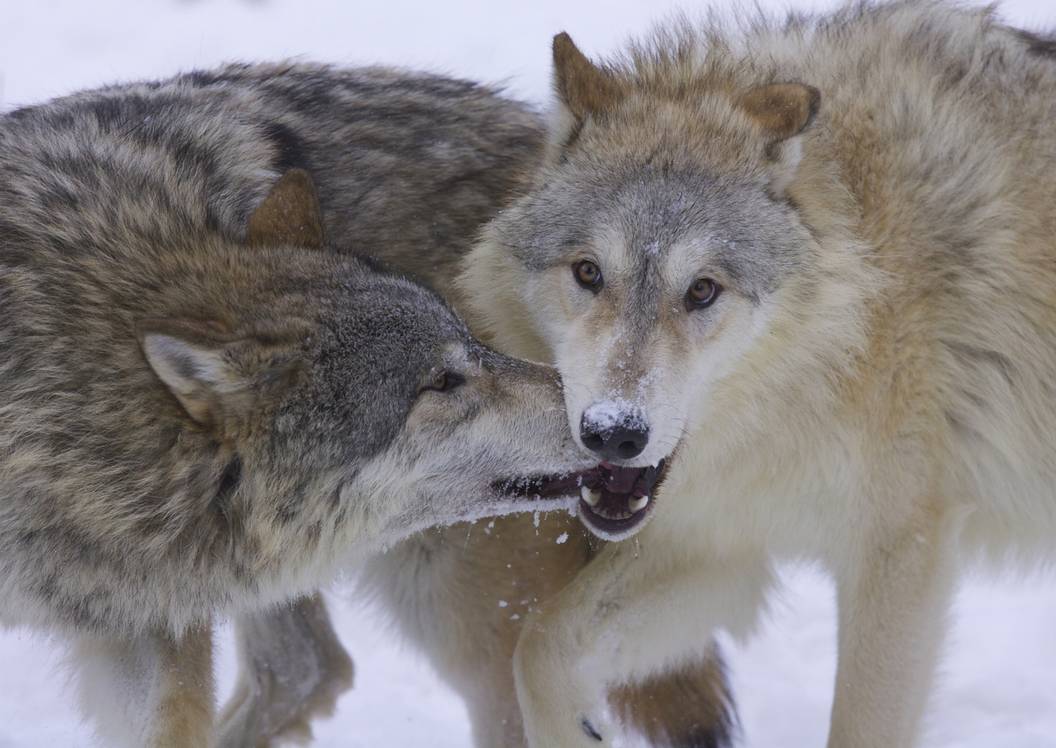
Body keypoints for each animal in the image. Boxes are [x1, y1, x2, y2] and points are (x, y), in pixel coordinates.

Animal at [0, 64, 734, 746]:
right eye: (442, 382)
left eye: (469, 346)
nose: (611, 424)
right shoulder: (137, 615)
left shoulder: (155, 627)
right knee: (307, 669)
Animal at [444, 2, 1056, 746]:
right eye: (589, 273)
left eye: (703, 290)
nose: (614, 433)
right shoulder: (724, 540)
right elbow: (537, 648)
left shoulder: (901, 552)